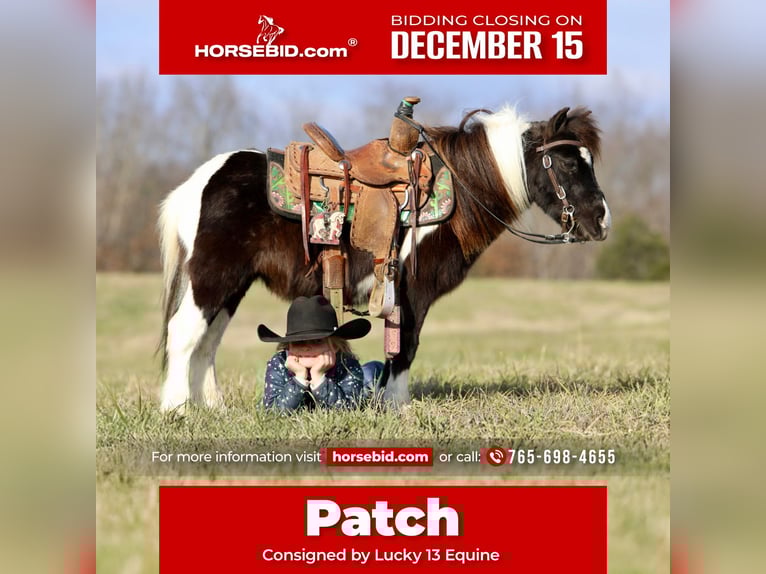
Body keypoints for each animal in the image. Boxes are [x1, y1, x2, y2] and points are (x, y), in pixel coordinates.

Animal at [156, 105, 611, 413]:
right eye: (569, 162)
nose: (602, 220)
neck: (459, 190)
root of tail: (197, 184)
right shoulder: (412, 292)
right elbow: (405, 346)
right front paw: (397, 405)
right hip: (211, 277)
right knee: (185, 332)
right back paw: (177, 408)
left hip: (232, 285)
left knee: (207, 342)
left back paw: (212, 406)